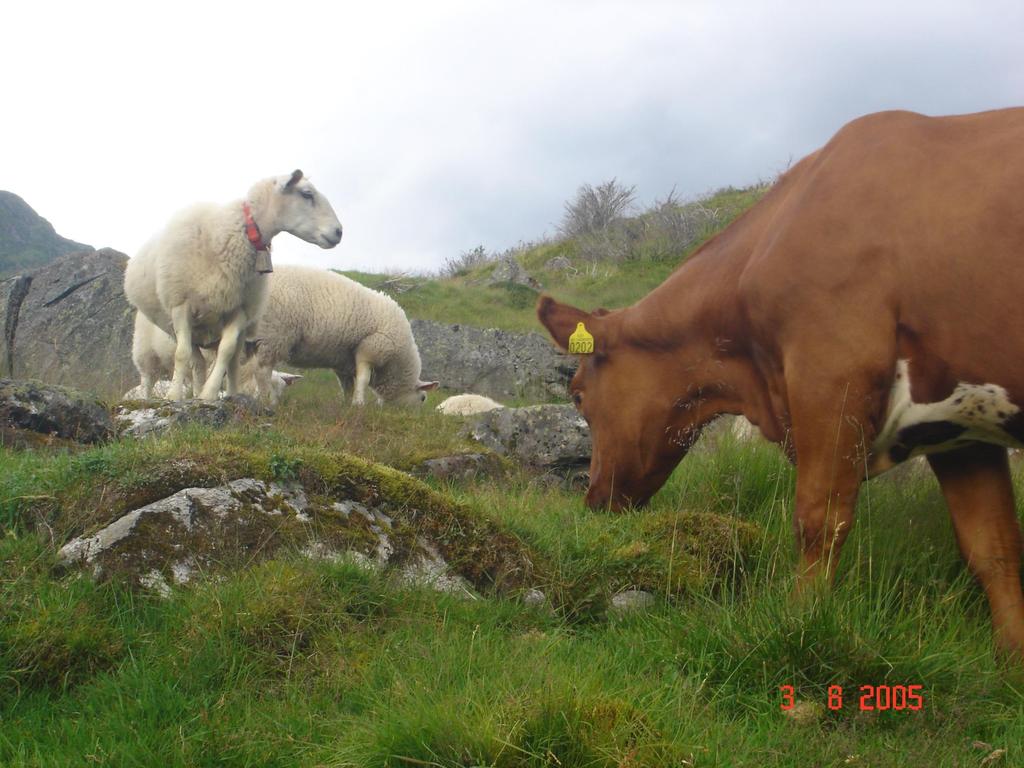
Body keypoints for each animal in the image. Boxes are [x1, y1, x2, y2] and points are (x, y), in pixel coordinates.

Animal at [251, 266, 440, 409]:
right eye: (423, 398)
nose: (412, 417)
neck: (395, 363)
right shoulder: (370, 349)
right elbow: (363, 379)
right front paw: (359, 404)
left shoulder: (343, 364)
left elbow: (347, 386)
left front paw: (347, 405)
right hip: (273, 333)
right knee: (262, 370)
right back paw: (267, 400)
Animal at [536, 109, 1024, 655]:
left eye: (577, 395)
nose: (593, 499)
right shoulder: (956, 425)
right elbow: (993, 549)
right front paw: (1011, 662)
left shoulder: (830, 377)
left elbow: (818, 520)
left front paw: (802, 621)